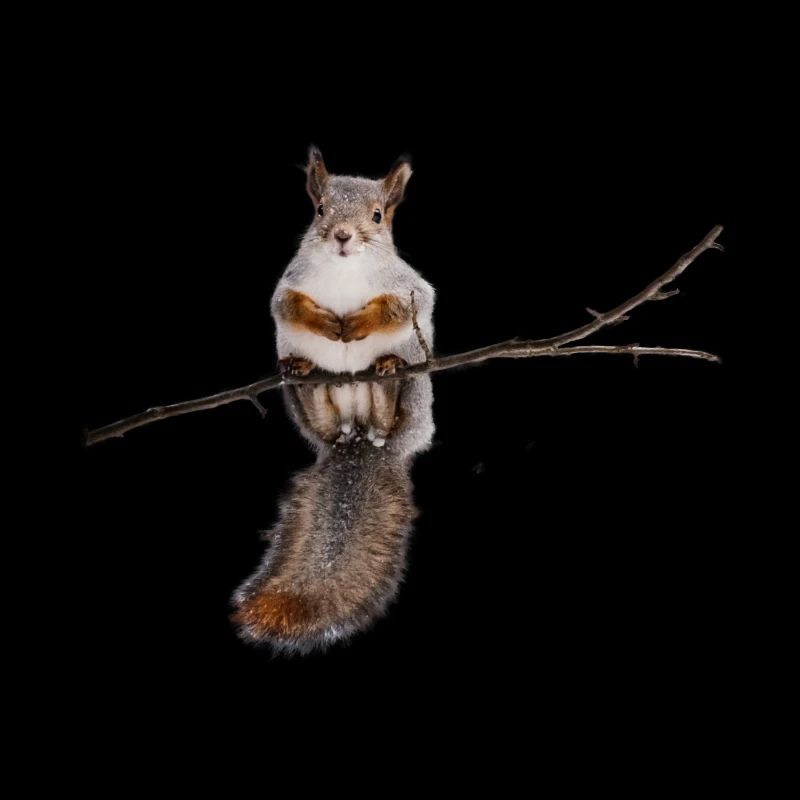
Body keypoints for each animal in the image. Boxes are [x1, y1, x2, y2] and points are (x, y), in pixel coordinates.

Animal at [232, 147, 435, 654]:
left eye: (378, 216)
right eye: (320, 210)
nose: (343, 236)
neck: (345, 270)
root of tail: (359, 436)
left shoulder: (411, 287)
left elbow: (407, 305)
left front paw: (358, 323)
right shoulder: (288, 284)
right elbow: (286, 306)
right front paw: (325, 323)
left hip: (415, 389)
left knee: (391, 406)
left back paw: (386, 373)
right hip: (306, 405)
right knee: (319, 410)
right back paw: (304, 374)